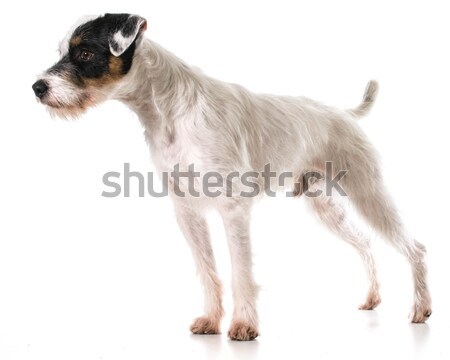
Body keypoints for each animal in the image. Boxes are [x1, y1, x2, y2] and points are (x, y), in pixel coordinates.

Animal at [32, 13, 432, 340]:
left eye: (85, 54)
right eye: (64, 51)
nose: (37, 87)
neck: (172, 111)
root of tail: (345, 114)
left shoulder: (232, 210)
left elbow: (241, 272)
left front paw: (243, 325)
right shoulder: (188, 213)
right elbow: (208, 271)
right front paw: (211, 320)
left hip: (368, 192)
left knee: (414, 247)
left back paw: (421, 308)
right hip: (325, 207)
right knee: (365, 243)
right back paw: (372, 298)